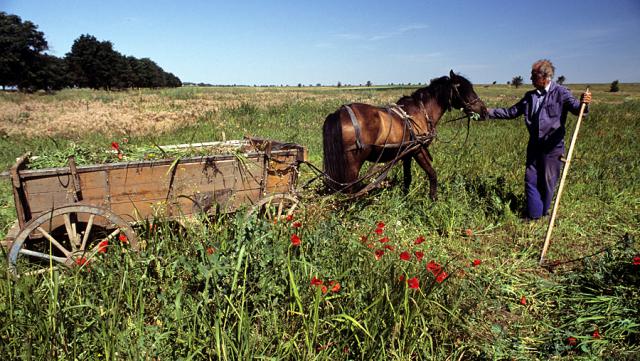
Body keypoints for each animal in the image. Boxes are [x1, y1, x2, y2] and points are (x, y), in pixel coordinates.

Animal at [322, 70, 488, 200]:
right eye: (463, 89)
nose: (484, 111)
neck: (422, 112)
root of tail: (339, 113)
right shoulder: (418, 150)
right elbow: (432, 174)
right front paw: (433, 200)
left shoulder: (407, 153)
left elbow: (408, 178)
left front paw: (405, 198)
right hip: (352, 163)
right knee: (348, 190)